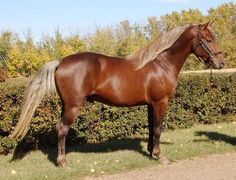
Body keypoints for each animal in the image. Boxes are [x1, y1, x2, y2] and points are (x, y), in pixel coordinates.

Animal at [10, 21, 225, 167]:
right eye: (208, 39)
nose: (220, 63)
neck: (161, 64)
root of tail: (60, 62)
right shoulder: (160, 102)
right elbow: (158, 129)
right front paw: (160, 155)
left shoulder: (150, 104)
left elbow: (150, 129)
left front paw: (150, 153)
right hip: (73, 106)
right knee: (62, 129)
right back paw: (63, 162)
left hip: (66, 105)